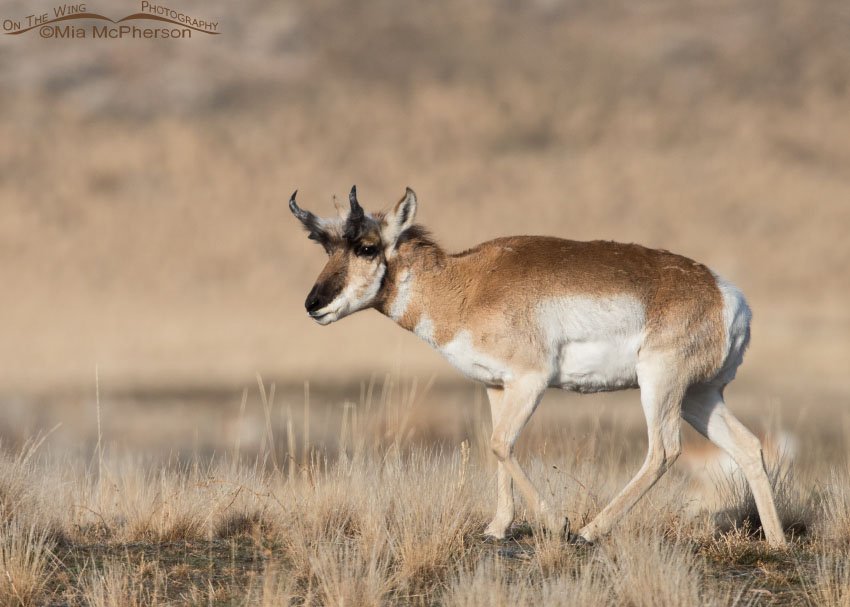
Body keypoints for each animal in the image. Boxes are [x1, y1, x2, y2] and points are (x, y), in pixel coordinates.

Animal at [288, 186, 787, 547]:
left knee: (663, 451)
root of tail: (726, 294)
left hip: (661, 384)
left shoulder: (531, 381)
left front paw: (556, 523)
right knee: (747, 447)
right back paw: (777, 542)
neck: (468, 285)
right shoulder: (496, 387)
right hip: (699, 396)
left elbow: (501, 444)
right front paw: (497, 528)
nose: (313, 305)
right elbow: (495, 446)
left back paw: (589, 531)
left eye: (367, 247)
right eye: (326, 247)